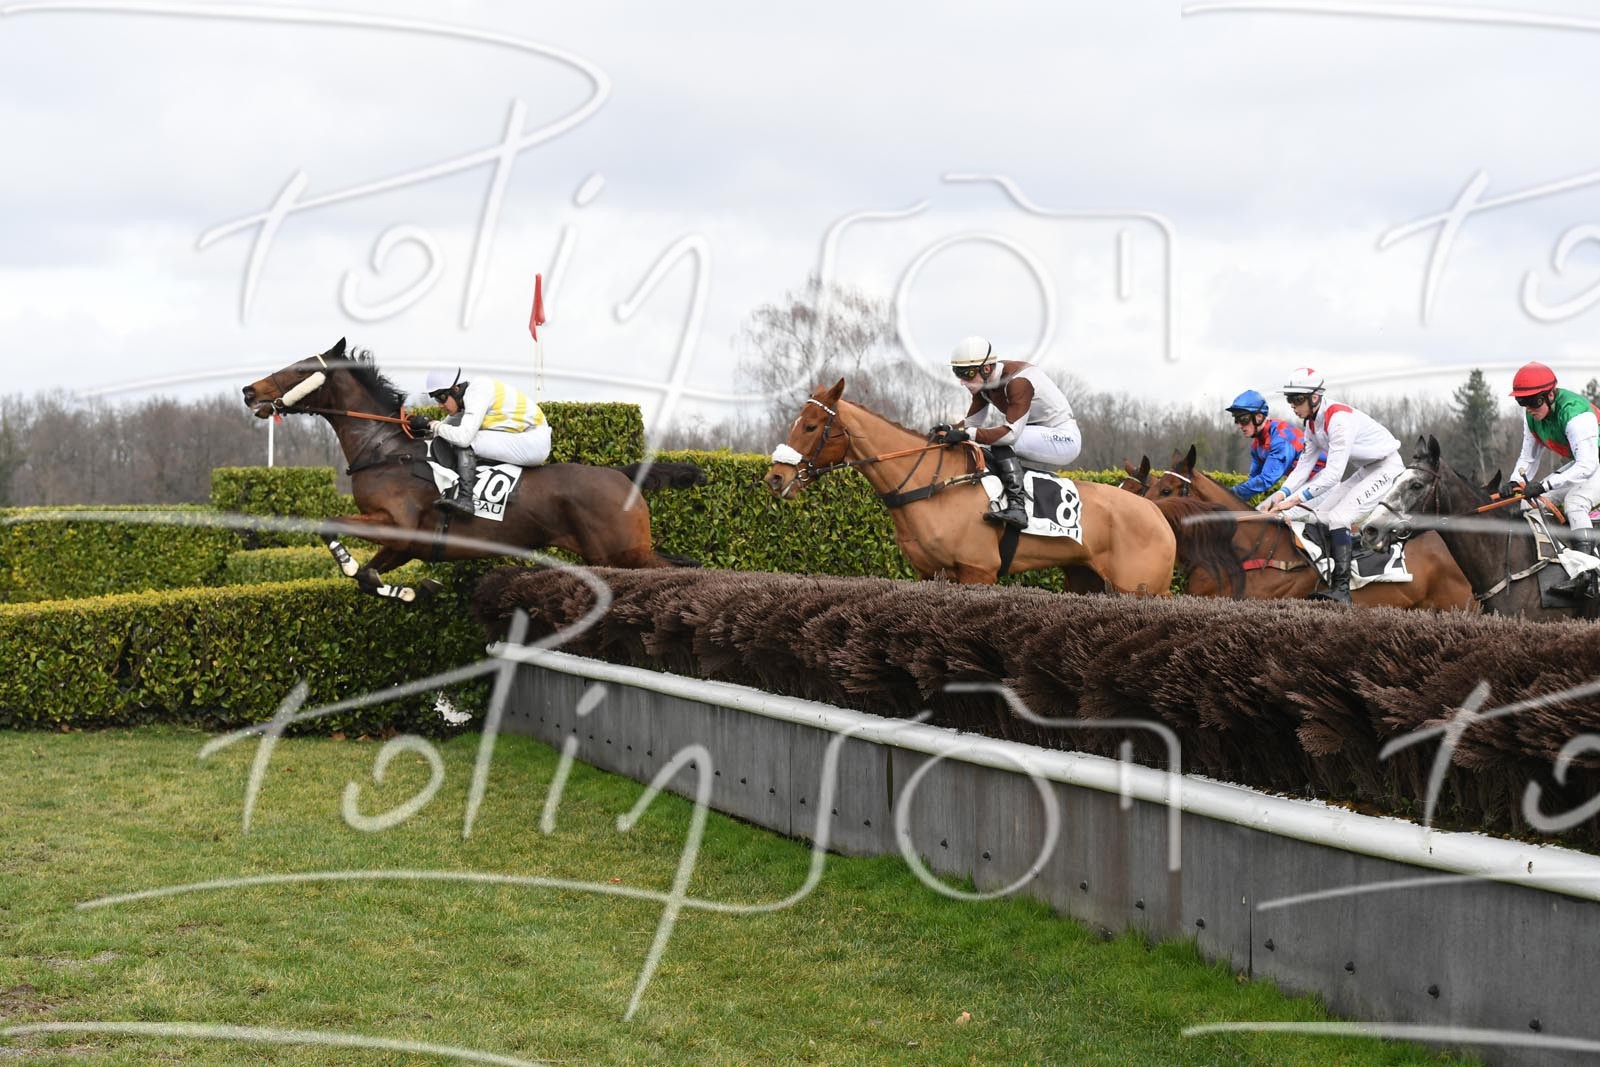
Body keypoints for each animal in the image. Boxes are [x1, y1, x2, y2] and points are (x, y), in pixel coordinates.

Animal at [241, 338, 702, 601]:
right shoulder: (406, 543)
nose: (248, 391)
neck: (386, 450)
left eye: (301, 369)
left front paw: (356, 567)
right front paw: (410, 591)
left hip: (623, 553)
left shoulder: (396, 523)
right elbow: (370, 577)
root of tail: (622, 474)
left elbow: (329, 526)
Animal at [761, 379, 1175, 593]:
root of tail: (1155, 512)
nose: (775, 478)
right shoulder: (931, 574)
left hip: (1140, 589)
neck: (931, 486)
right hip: (1085, 580)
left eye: (810, 425)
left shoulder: (978, 571)